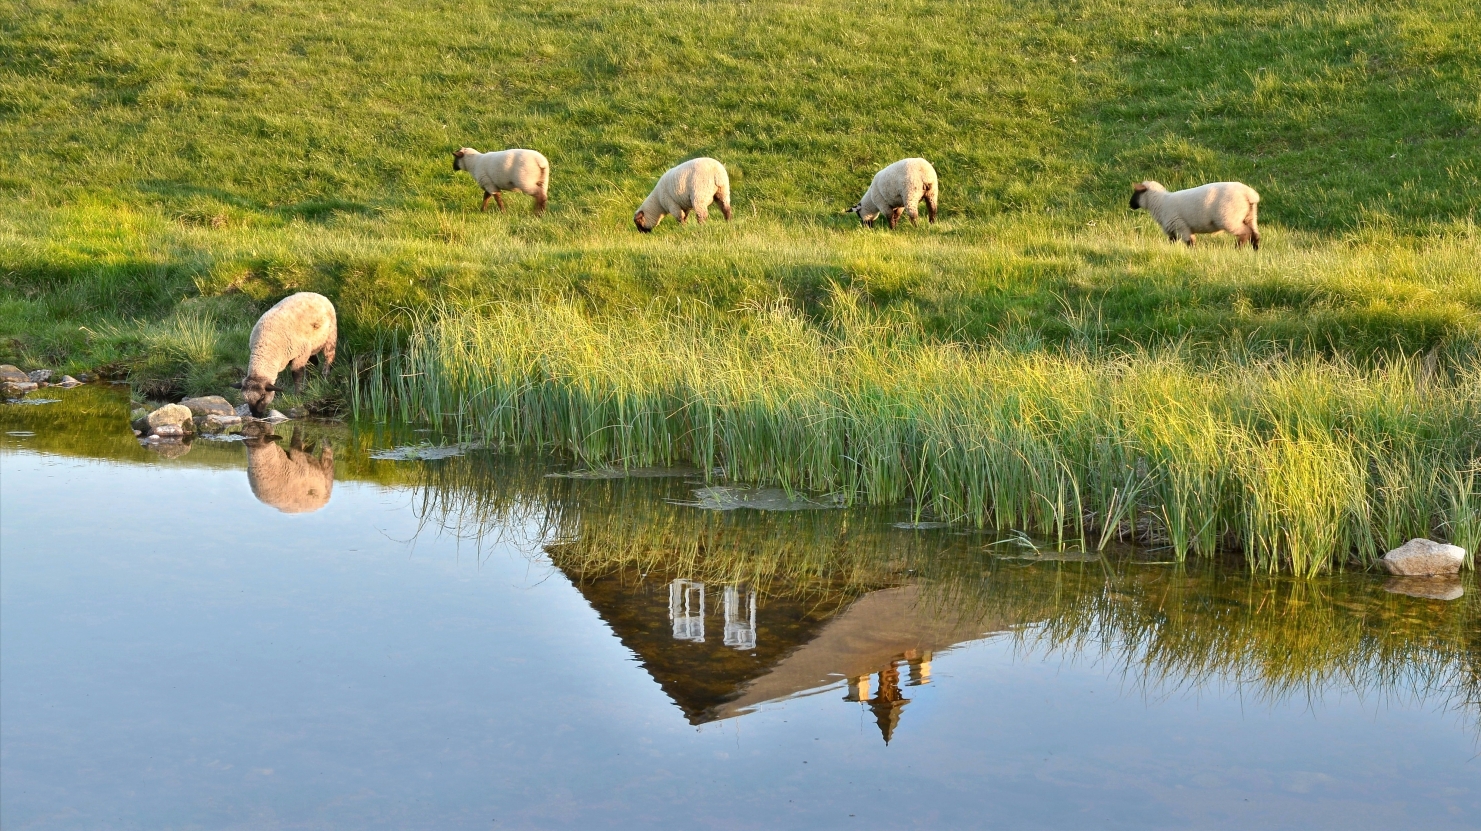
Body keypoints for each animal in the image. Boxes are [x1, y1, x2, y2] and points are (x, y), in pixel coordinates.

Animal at [1131, 179, 1261, 247]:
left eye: (1135, 193)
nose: (1130, 204)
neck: (1160, 202)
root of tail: (1248, 194)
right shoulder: (1173, 230)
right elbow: (1173, 242)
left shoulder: (1180, 226)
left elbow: (1190, 242)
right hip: (1250, 216)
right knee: (1255, 234)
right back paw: (1254, 250)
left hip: (1229, 219)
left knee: (1245, 232)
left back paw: (1238, 248)